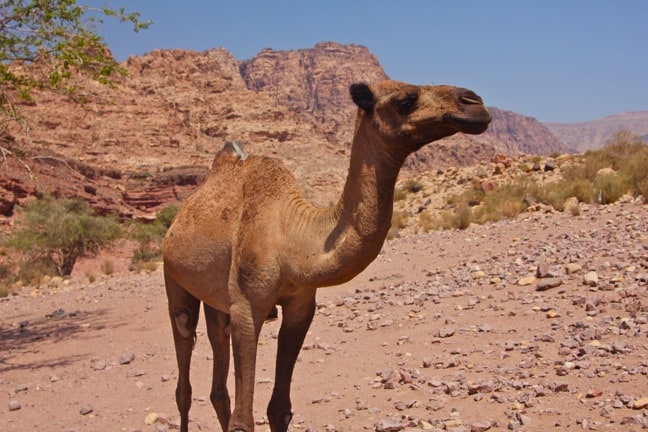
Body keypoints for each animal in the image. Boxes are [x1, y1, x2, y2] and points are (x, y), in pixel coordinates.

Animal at [162, 79, 492, 430]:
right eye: (405, 99)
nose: (475, 103)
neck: (292, 237)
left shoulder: (301, 306)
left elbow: (279, 408)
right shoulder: (247, 308)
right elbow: (243, 419)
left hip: (216, 301)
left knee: (217, 373)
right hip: (174, 279)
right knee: (183, 368)